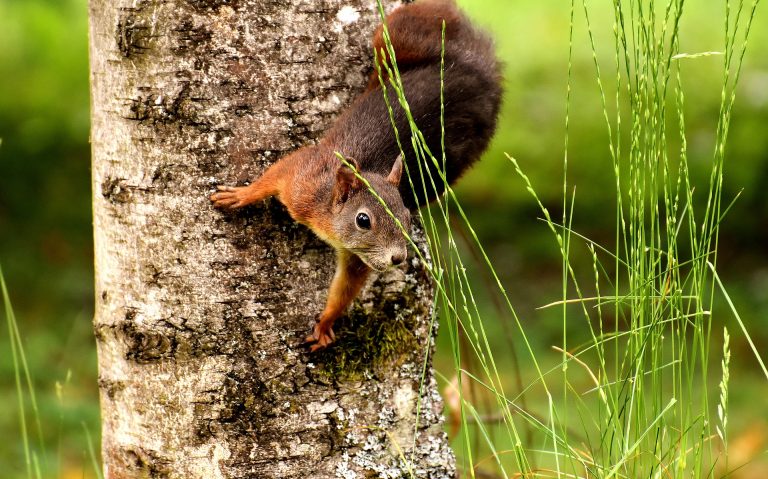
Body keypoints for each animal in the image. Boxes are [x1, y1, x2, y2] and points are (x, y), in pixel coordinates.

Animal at [211, 0, 502, 352]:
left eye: (407, 216)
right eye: (363, 220)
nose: (398, 258)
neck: (327, 215)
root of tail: (477, 70)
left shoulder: (356, 256)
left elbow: (346, 288)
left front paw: (326, 322)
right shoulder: (303, 181)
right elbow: (276, 174)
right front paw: (241, 194)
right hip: (400, 34)